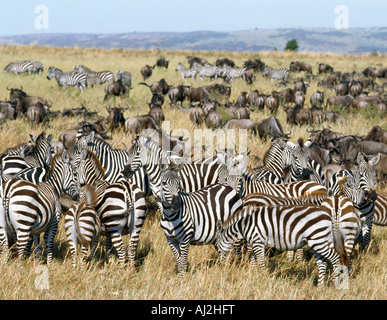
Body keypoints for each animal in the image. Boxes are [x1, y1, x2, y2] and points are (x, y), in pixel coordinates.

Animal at [218, 201, 352, 286]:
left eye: (218, 247)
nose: (221, 267)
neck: (244, 225)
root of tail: (329, 216)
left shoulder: (258, 242)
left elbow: (260, 262)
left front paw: (261, 278)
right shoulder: (258, 244)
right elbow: (254, 261)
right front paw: (252, 275)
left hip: (318, 240)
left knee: (335, 258)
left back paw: (334, 282)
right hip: (318, 242)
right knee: (322, 264)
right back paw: (319, 287)